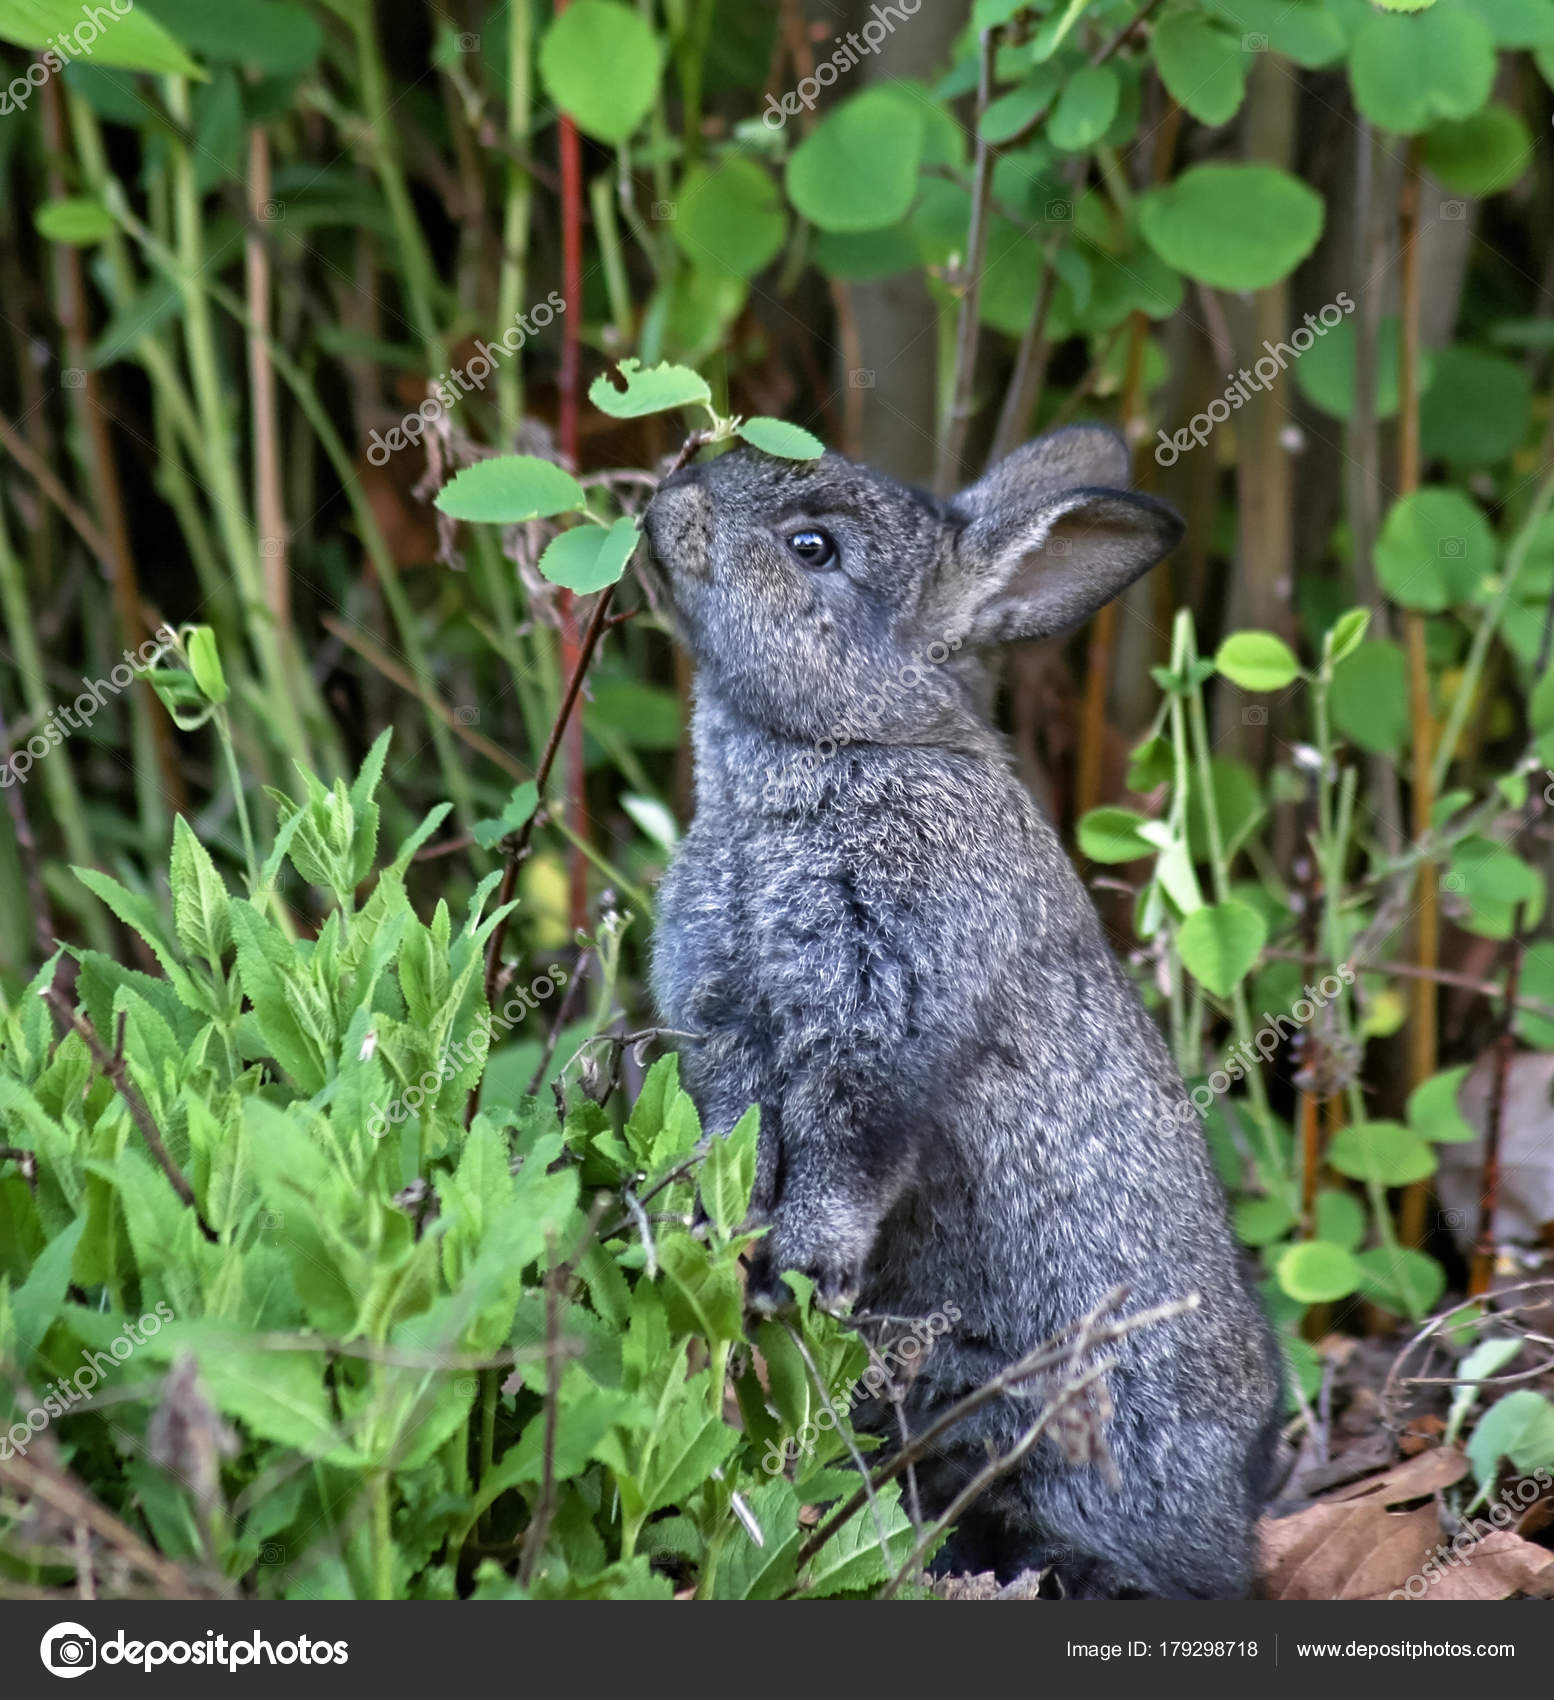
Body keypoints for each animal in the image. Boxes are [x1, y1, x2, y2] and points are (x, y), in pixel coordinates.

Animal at [641, 425, 1283, 1600]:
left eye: (813, 546)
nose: (672, 501)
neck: (848, 743)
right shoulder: (729, 1031)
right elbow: (735, 1133)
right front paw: (719, 1236)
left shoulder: (884, 1015)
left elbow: (849, 1149)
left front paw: (801, 1267)